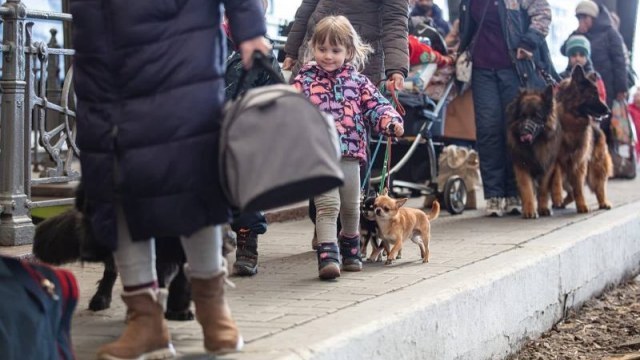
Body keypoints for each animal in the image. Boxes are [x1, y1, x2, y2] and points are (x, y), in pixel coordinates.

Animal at [508, 85, 564, 218]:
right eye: (522, 116)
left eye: (536, 117)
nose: (524, 132)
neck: (534, 146)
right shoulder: (522, 166)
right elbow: (527, 188)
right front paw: (529, 210)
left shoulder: (547, 165)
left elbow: (543, 188)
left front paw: (543, 208)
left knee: (557, 175)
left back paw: (557, 196)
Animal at [552, 65, 612, 212]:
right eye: (593, 95)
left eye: (598, 94)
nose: (609, 112)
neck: (571, 121)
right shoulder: (556, 160)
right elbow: (556, 178)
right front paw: (557, 196)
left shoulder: (578, 161)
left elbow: (578, 188)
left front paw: (582, 205)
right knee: (570, 192)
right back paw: (560, 202)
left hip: (596, 167)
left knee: (599, 186)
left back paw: (604, 202)